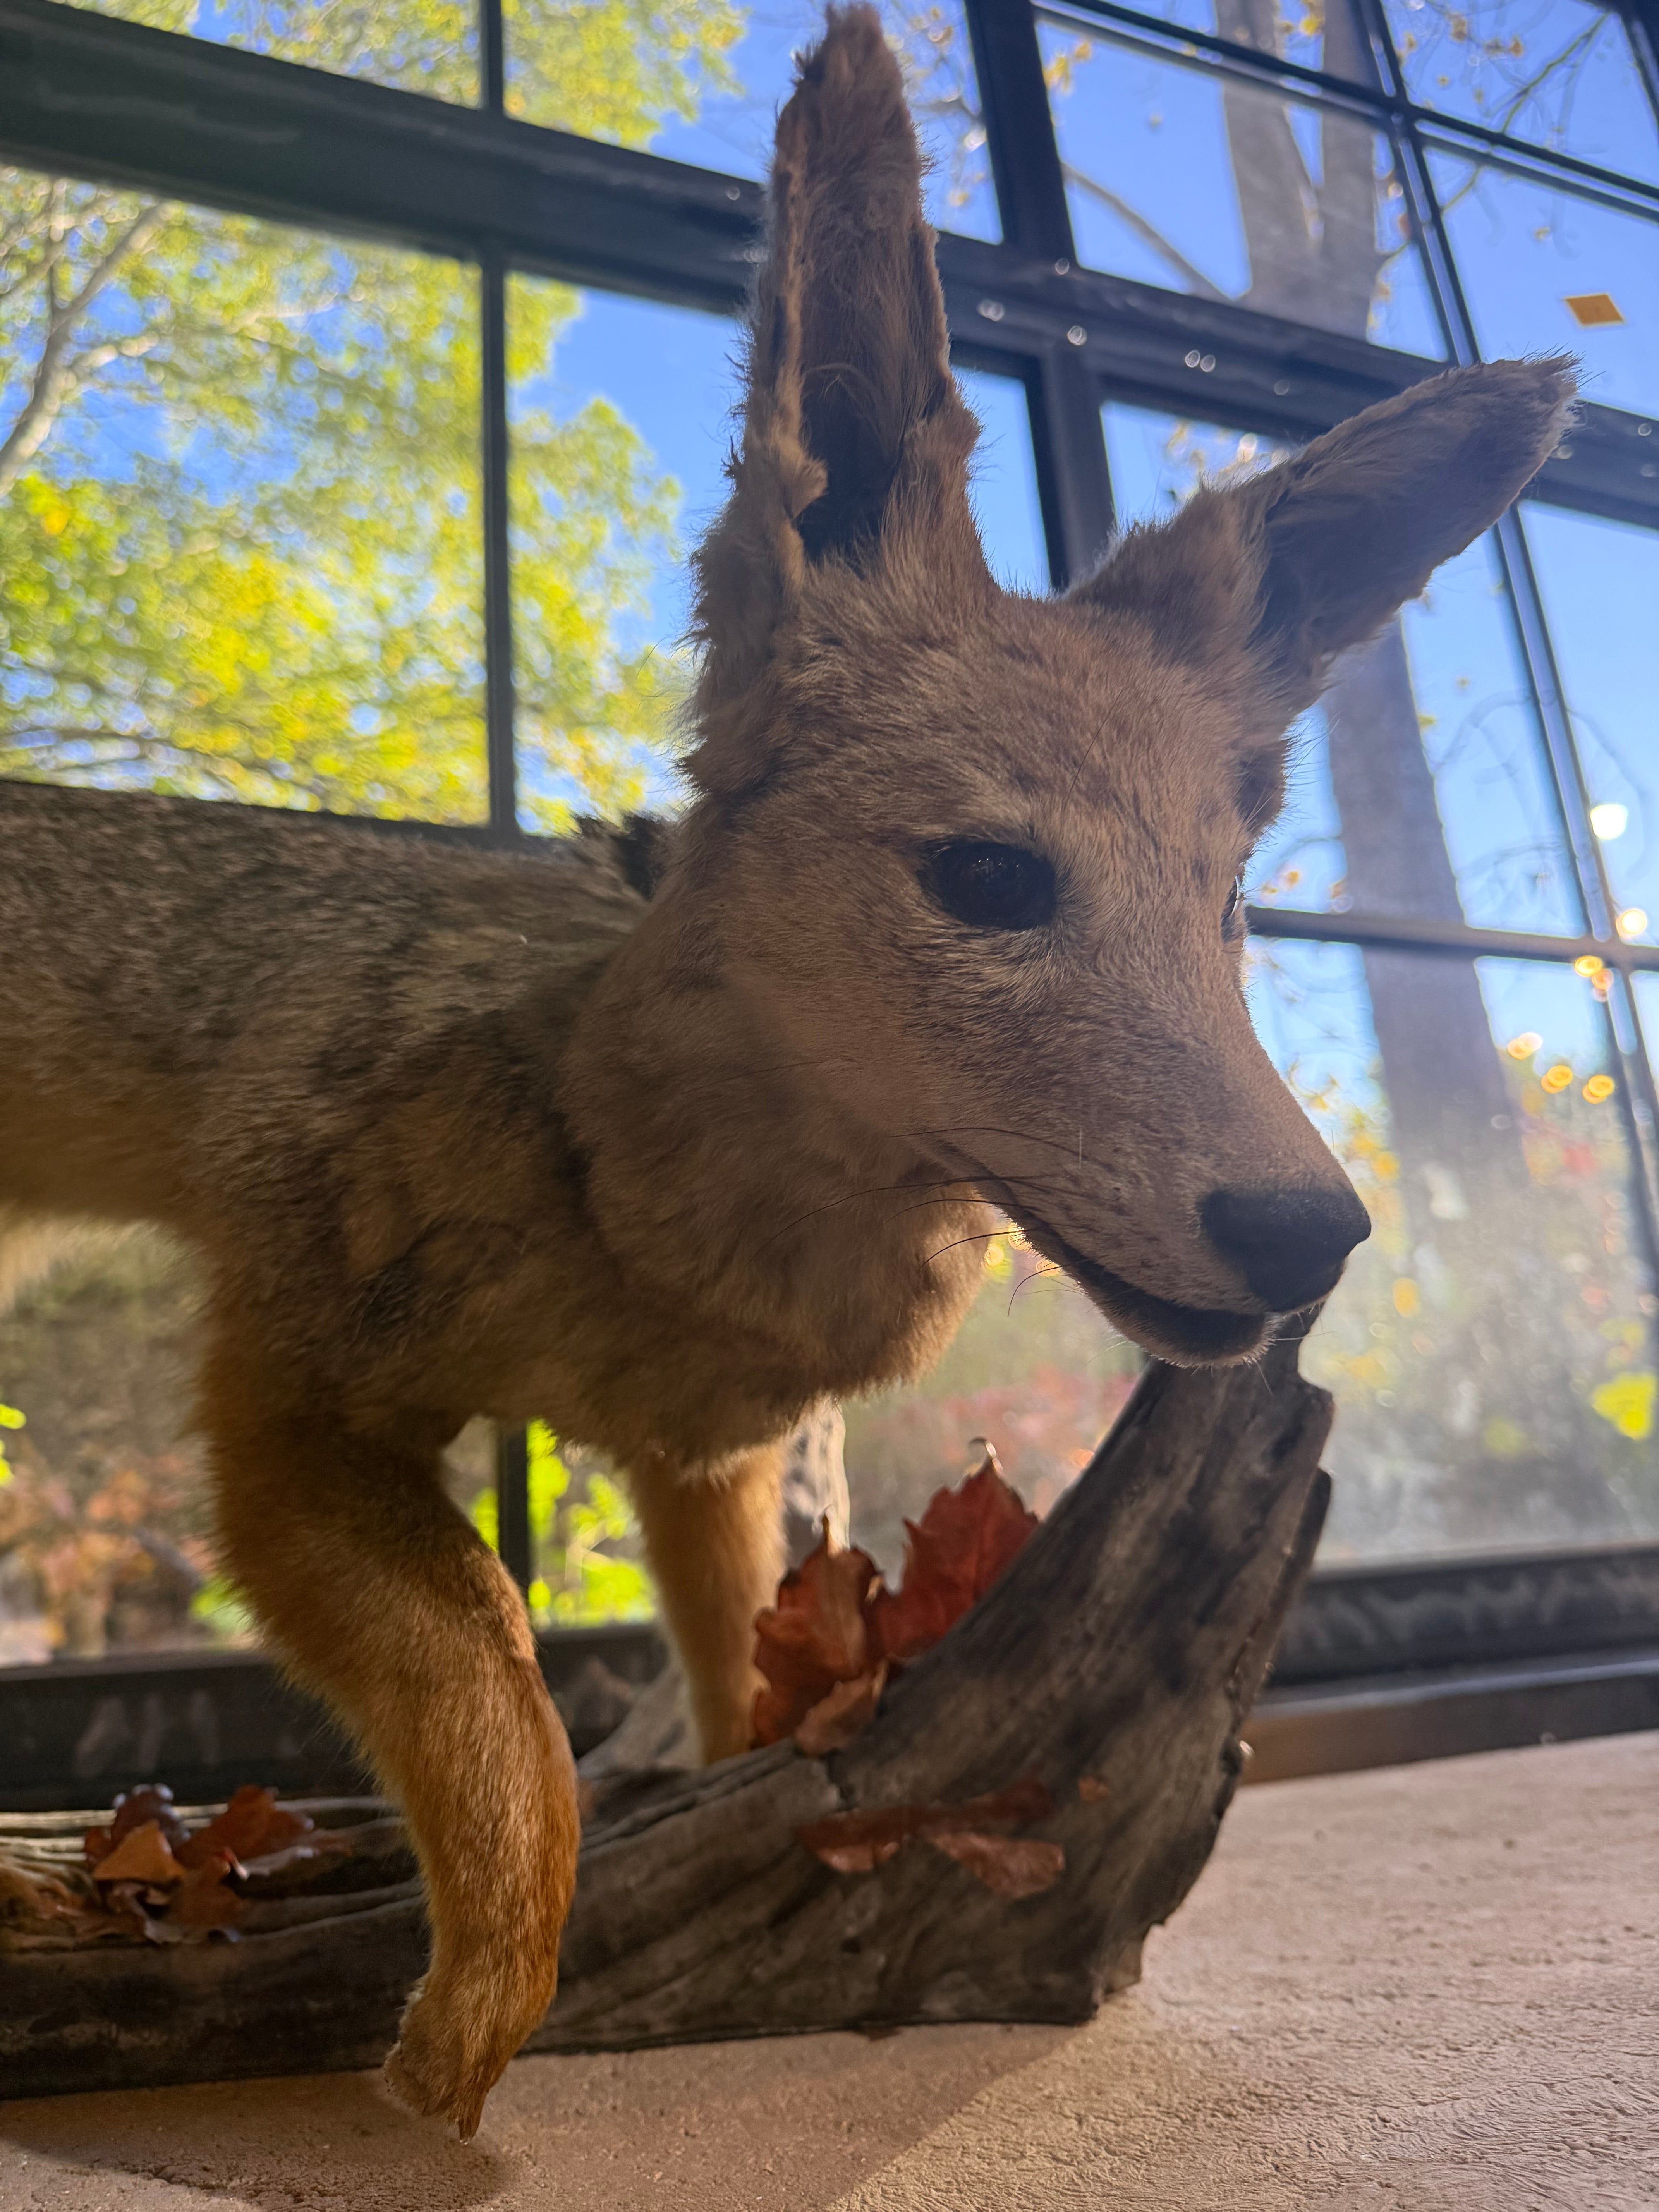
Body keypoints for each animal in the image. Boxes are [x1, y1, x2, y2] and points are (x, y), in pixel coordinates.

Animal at [0, 2, 1573, 2138]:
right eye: (989, 881)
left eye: (1226, 913)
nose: (1309, 1232)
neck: (640, 1215)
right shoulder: (289, 1411)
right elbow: (506, 1687)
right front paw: (471, 2015)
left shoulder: (710, 1463)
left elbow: (732, 1687)